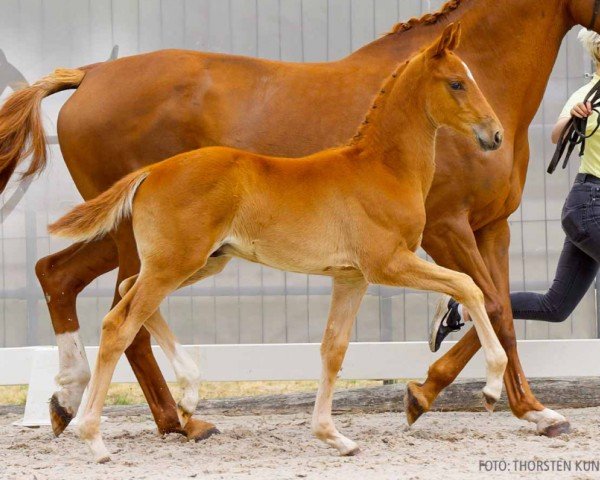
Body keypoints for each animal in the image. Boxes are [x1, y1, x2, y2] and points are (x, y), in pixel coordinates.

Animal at [50, 24, 506, 464]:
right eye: (456, 83)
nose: (495, 134)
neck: (382, 169)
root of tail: (151, 172)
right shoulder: (389, 264)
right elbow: (469, 286)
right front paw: (491, 387)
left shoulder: (351, 278)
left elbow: (333, 350)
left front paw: (335, 437)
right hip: (176, 264)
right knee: (119, 324)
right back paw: (95, 439)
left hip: (197, 262)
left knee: (130, 296)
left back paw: (189, 395)